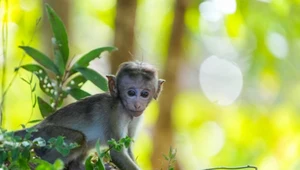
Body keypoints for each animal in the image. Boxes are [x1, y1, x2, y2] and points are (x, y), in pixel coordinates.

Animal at [14, 61, 165, 170]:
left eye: (145, 94)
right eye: (131, 93)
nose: (137, 104)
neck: (124, 107)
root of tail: (37, 126)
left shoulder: (137, 117)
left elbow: (127, 149)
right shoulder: (117, 113)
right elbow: (118, 154)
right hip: (46, 134)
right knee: (78, 139)